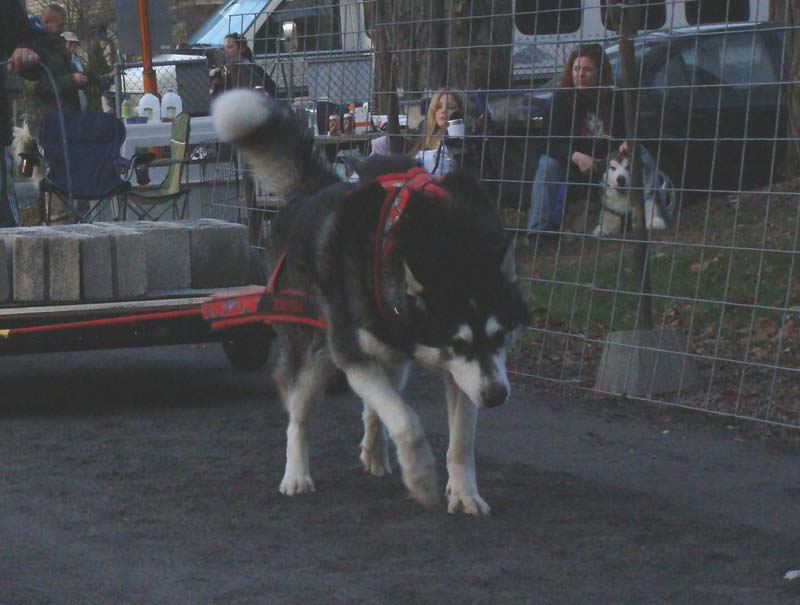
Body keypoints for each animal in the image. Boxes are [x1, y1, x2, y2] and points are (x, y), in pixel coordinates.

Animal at [211, 91, 532, 516]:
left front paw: (464, 492)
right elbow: (406, 421)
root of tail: (313, 191)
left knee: (377, 404)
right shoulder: (352, 354)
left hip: (391, 357)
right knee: (300, 414)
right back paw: (296, 474)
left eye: (499, 337)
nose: (496, 396)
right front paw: (422, 477)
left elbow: (460, 438)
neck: (443, 241)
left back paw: (375, 454)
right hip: (314, 351)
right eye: (458, 343)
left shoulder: (463, 373)